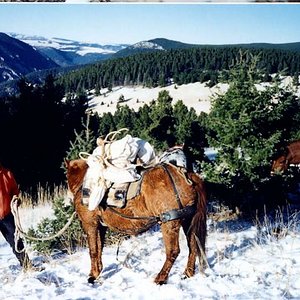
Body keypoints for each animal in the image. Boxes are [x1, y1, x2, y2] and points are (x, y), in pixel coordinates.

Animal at [65, 158, 206, 284]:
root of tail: (184, 175)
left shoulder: (90, 225)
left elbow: (93, 251)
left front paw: (93, 275)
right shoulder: (101, 227)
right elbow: (99, 249)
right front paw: (97, 272)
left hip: (170, 223)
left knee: (173, 251)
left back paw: (160, 278)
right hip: (188, 221)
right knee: (193, 246)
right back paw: (187, 273)